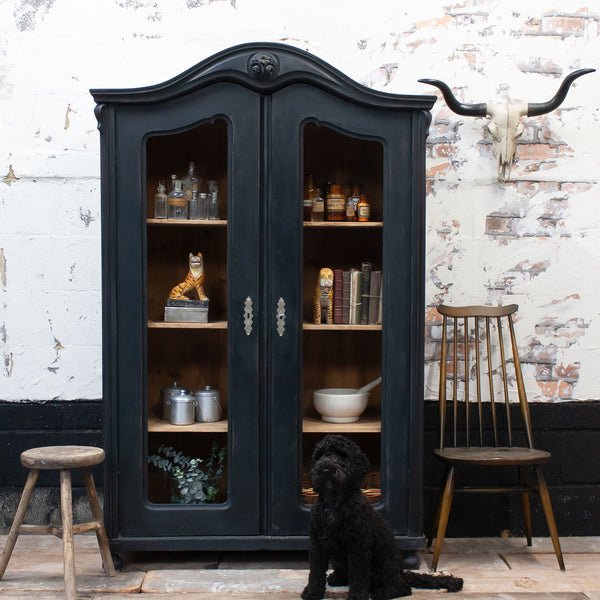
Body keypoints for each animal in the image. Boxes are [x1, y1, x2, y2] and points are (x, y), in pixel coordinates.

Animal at [300, 436, 464, 600]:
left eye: (343, 455)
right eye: (320, 454)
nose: (326, 469)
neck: (335, 504)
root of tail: (401, 573)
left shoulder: (358, 547)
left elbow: (358, 576)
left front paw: (357, 596)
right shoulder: (317, 544)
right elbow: (315, 572)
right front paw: (312, 592)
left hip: (384, 568)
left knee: (403, 588)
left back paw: (381, 592)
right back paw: (337, 578)